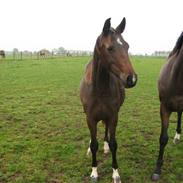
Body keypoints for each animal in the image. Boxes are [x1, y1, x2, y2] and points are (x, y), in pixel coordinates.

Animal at [79, 17, 137, 182]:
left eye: (127, 46)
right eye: (110, 48)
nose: (131, 79)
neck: (99, 89)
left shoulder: (113, 116)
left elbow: (113, 143)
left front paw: (116, 173)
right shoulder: (90, 118)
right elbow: (94, 145)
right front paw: (94, 172)